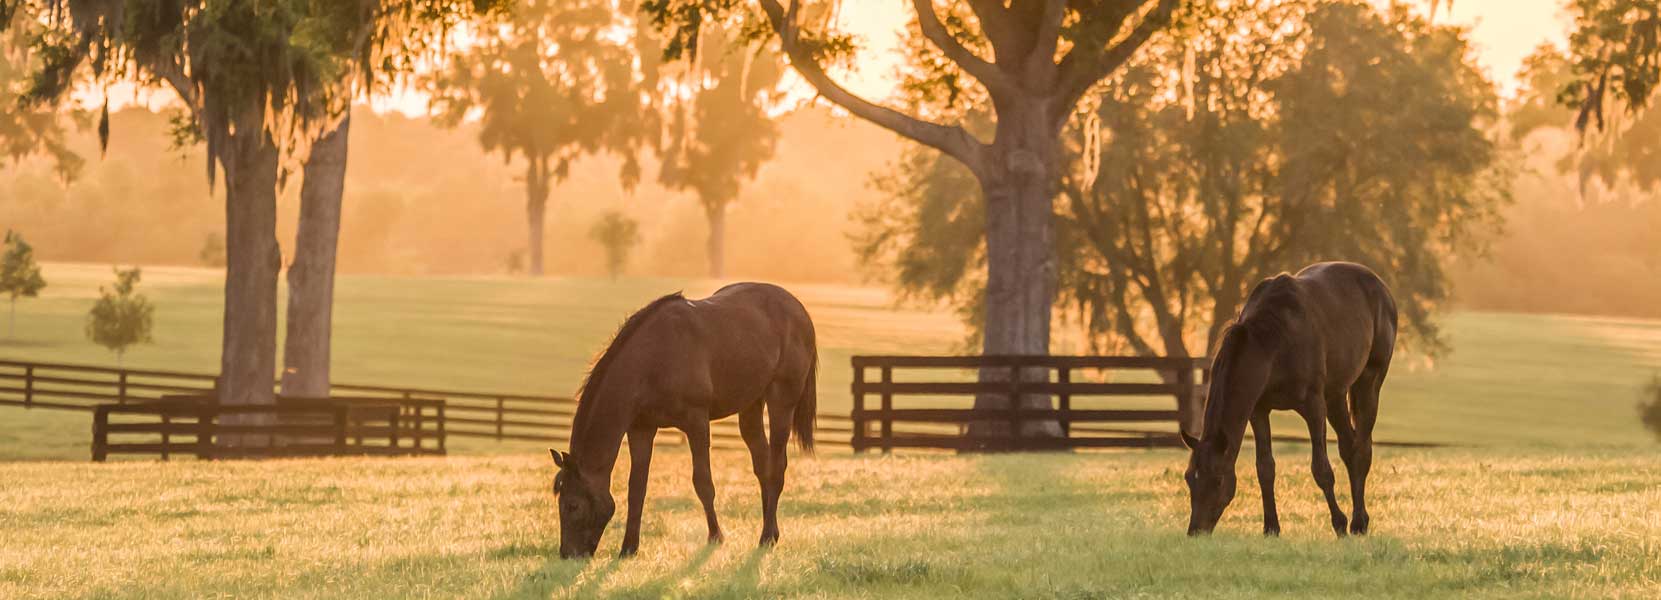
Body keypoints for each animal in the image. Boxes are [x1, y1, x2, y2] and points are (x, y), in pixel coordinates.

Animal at [551, 282, 817, 558]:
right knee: (762, 465)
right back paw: (770, 533)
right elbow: (637, 488)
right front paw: (629, 548)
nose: (567, 554)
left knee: (776, 466)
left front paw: (715, 537)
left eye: (572, 505)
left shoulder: (696, 422)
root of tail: (798, 309)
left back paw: (765, 537)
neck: (653, 358)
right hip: (752, 405)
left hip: (781, 402)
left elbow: (703, 482)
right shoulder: (641, 429)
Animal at [1175, 262, 1395, 538]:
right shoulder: (1258, 410)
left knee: (1362, 449)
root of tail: (1382, 288)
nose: (1196, 531)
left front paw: (1339, 524)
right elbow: (1265, 468)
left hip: (1368, 382)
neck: (1272, 342)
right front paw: (1271, 527)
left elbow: (1321, 469)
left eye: (1217, 480)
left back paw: (1358, 523)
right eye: (1188, 477)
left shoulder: (1314, 406)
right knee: (1349, 447)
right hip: (1335, 396)